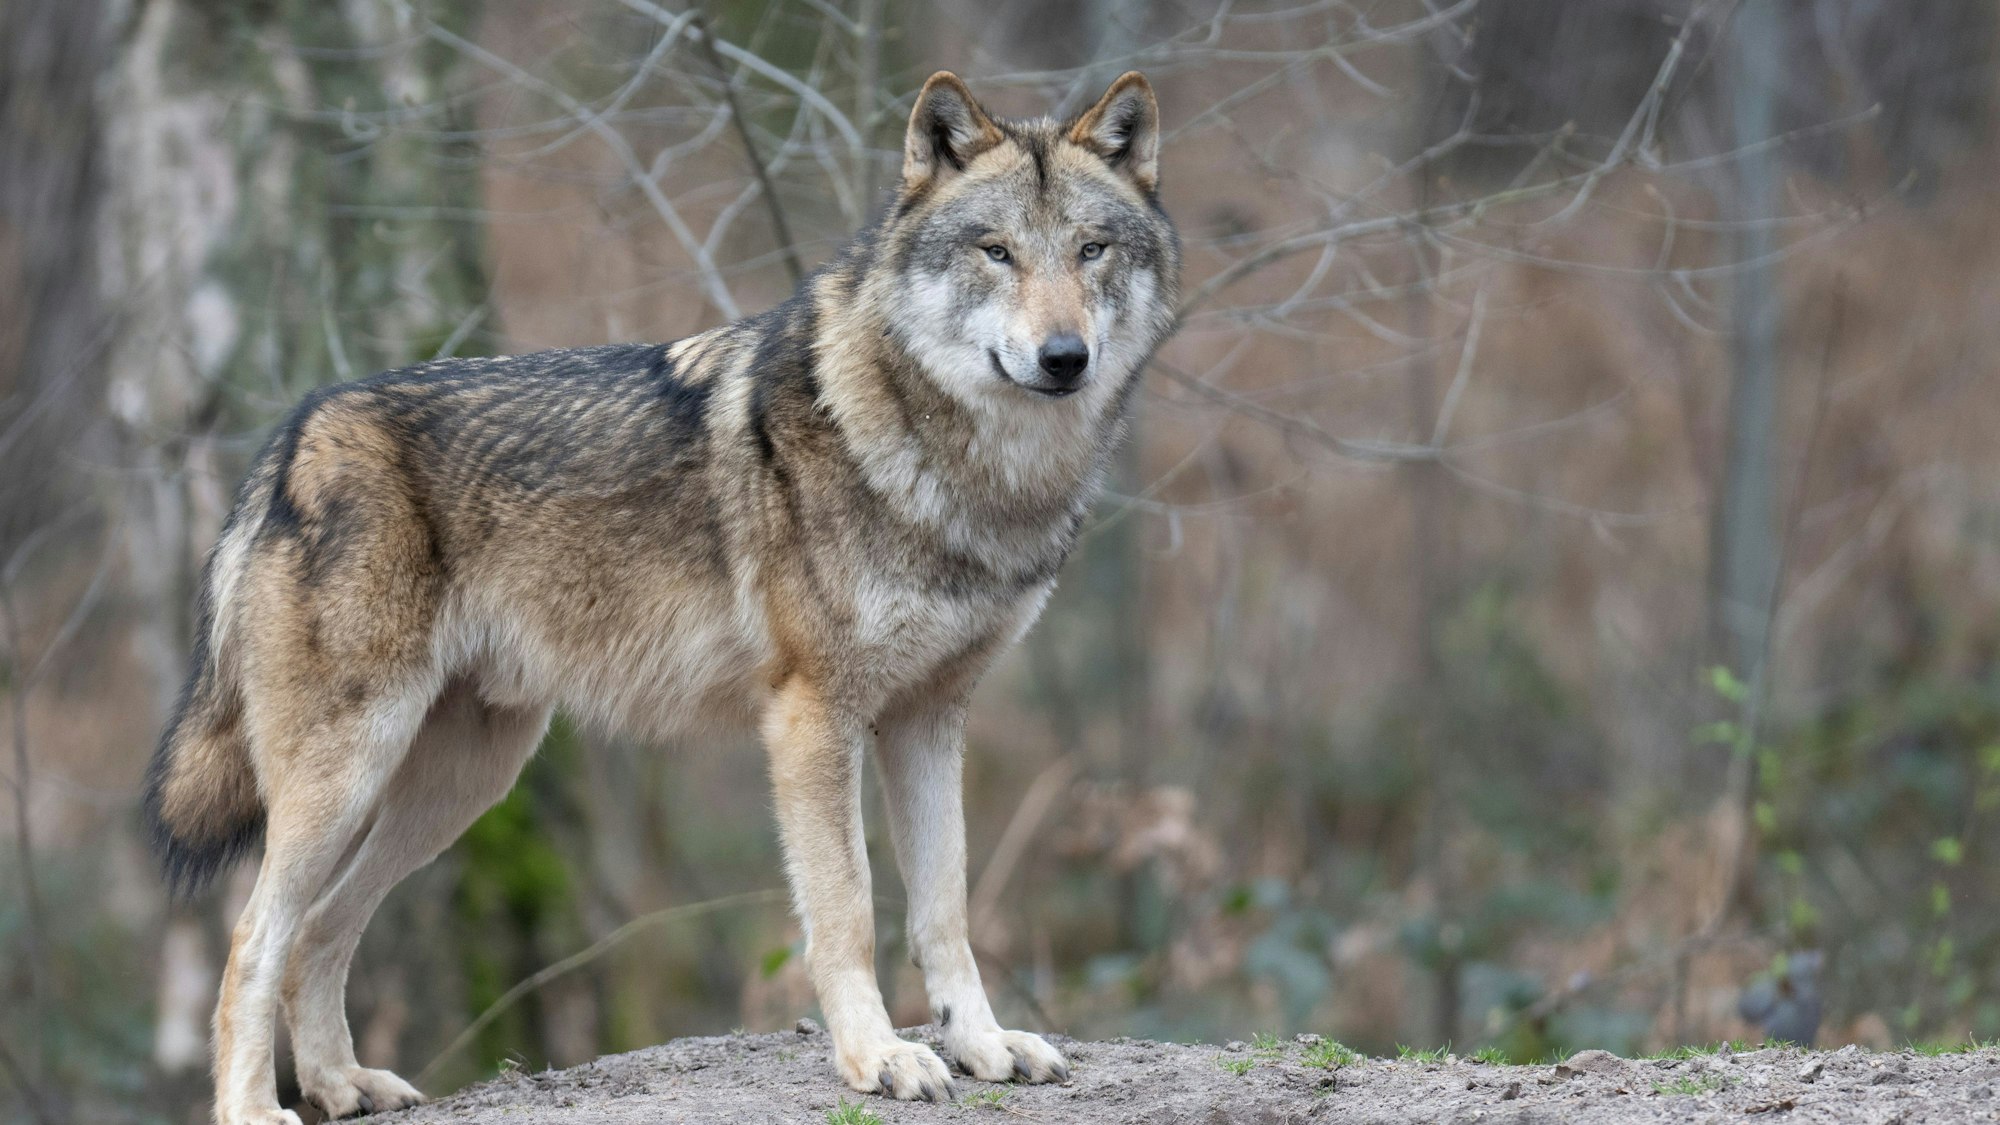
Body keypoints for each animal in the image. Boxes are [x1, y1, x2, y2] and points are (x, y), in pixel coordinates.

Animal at [143, 71, 1178, 1123]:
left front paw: (981, 1044)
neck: (966, 474)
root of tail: (292, 436)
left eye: (1090, 249)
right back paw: (256, 1106)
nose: (1064, 356)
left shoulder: (930, 716)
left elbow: (944, 907)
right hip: (352, 771)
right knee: (252, 940)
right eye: (996, 250)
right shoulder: (814, 716)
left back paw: (343, 1083)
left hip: (461, 783)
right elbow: (848, 909)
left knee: (320, 929)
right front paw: (879, 1056)